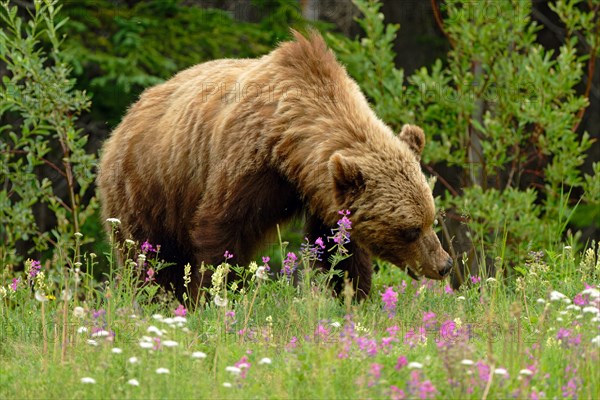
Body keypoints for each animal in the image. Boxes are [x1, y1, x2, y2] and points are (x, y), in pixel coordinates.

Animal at [98, 29, 452, 302]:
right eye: (410, 229)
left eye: (431, 219)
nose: (443, 264)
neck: (290, 145)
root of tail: (124, 120)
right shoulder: (247, 164)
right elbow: (220, 233)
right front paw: (215, 295)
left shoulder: (322, 191)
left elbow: (339, 247)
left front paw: (356, 296)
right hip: (149, 189)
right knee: (151, 256)